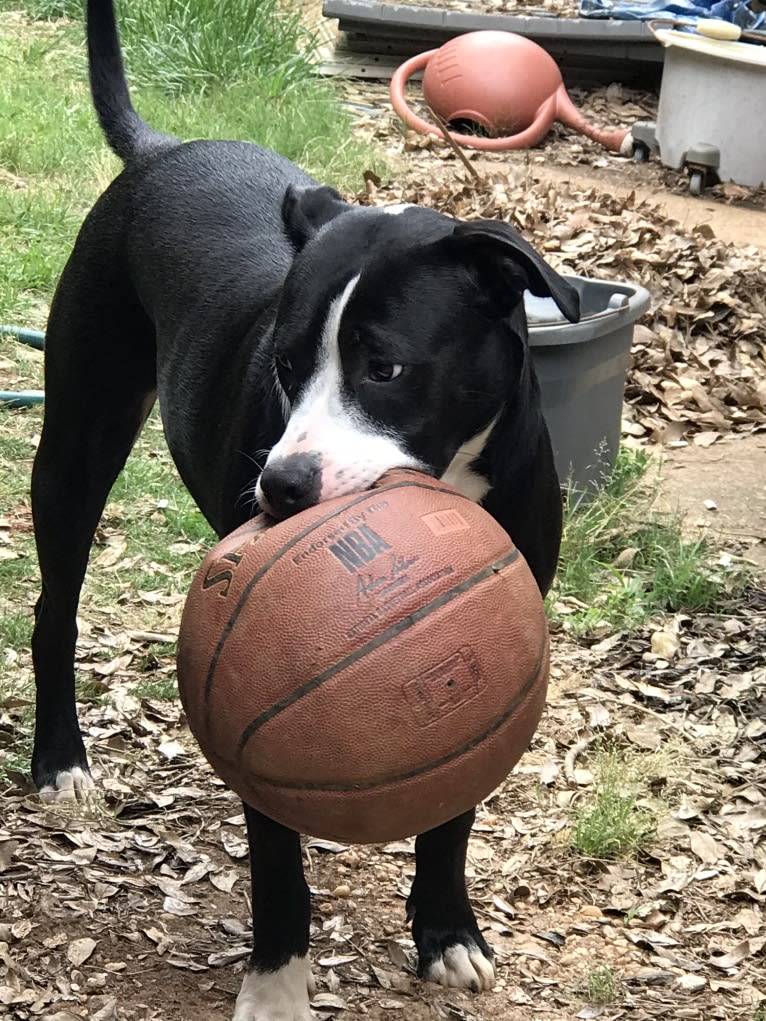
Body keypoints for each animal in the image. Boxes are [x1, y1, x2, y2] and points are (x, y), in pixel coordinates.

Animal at [30, 3, 580, 1016]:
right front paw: (279, 984)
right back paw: (61, 760)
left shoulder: (505, 645)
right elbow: (278, 856)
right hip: (78, 438)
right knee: (55, 609)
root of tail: (164, 148)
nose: (282, 488)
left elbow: (453, 811)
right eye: (284, 363)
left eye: (386, 367)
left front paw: (447, 930)